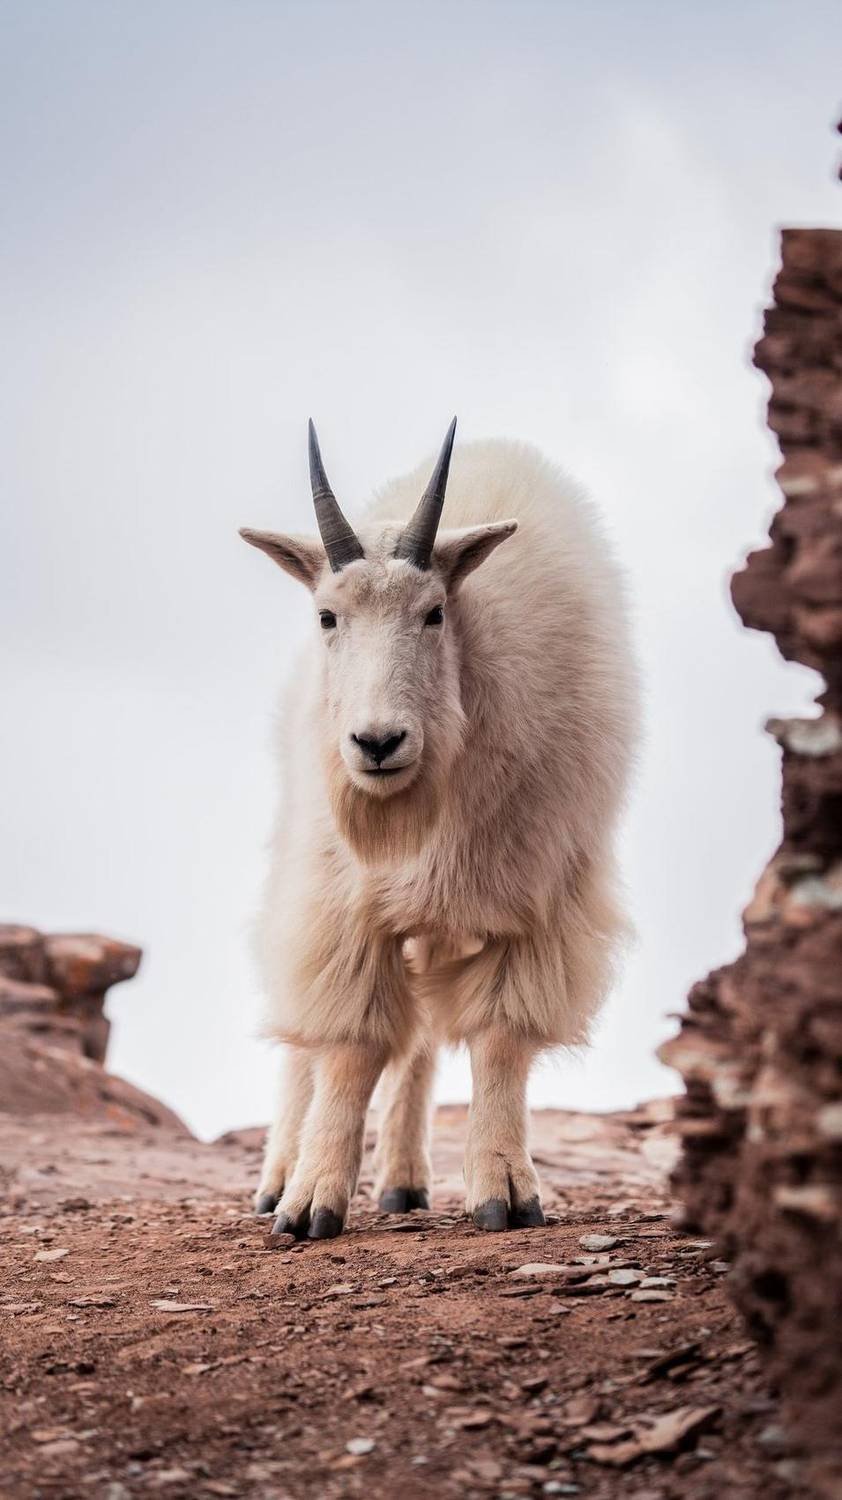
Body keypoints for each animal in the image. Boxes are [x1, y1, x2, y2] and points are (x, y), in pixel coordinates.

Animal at [240, 419, 637, 1238]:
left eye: (434, 612)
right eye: (327, 616)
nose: (377, 743)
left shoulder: (537, 897)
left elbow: (500, 1037)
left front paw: (505, 1190)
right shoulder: (345, 898)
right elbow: (350, 1044)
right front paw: (311, 1200)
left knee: (420, 1040)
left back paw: (402, 1181)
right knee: (306, 1042)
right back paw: (279, 1176)